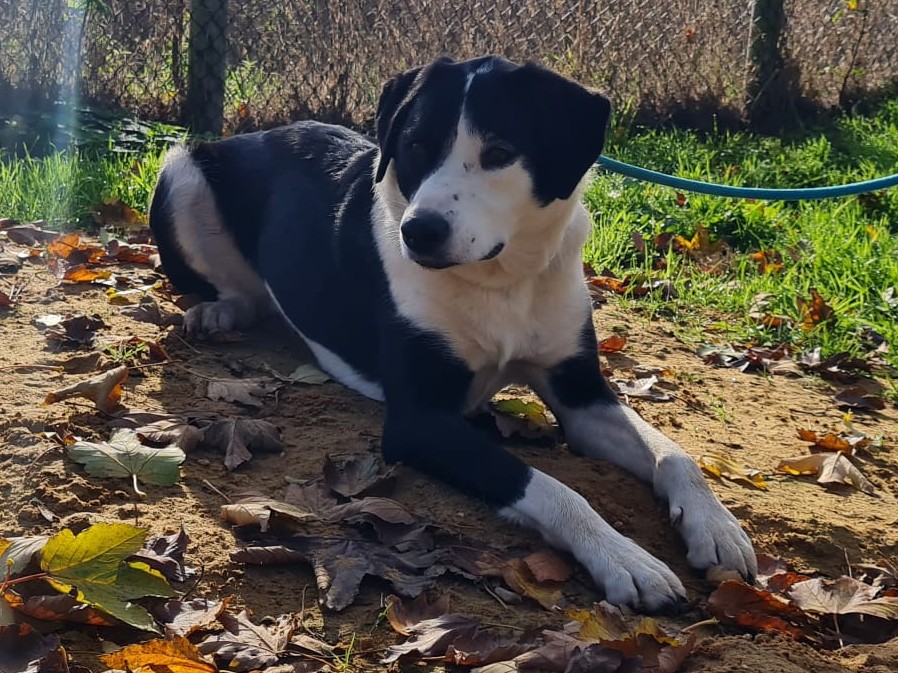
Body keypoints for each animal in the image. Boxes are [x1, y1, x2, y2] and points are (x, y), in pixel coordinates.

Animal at [149, 55, 756, 611]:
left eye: (500, 153)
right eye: (415, 146)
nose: (418, 232)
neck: (502, 278)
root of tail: (250, 135)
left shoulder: (582, 394)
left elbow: (676, 455)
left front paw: (717, 527)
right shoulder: (419, 420)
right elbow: (549, 486)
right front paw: (626, 558)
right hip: (180, 169)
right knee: (233, 288)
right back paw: (217, 313)